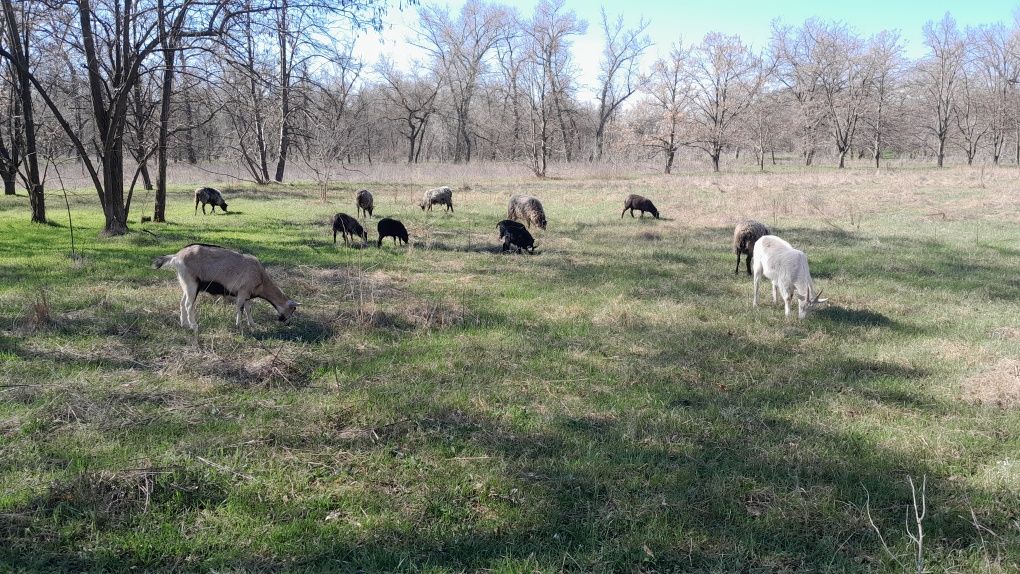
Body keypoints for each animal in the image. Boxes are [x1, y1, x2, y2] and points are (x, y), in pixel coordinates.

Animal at [148, 243, 297, 332]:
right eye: (293, 310)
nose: (287, 322)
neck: (261, 278)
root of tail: (177, 256)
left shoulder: (247, 295)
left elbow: (248, 309)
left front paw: (252, 324)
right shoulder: (242, 292)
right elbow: (240, 308)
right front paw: (239, 326)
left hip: (185, 284)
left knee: (182, 303)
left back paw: (184, 324)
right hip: (192, 284)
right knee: (188, 305)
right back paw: (194, 326)